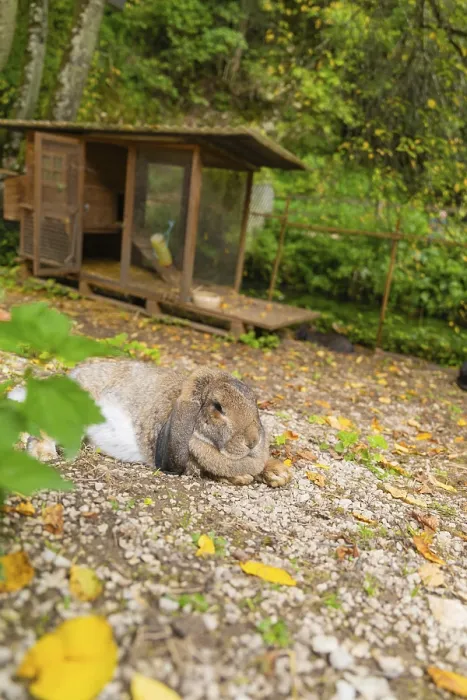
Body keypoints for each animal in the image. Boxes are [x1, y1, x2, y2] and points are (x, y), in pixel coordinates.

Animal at [8, 359, 291, 488]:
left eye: (254, 401)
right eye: (218, 407)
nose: (253, 441)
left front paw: (279, 474)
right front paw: (242, 477)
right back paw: (42, 453)